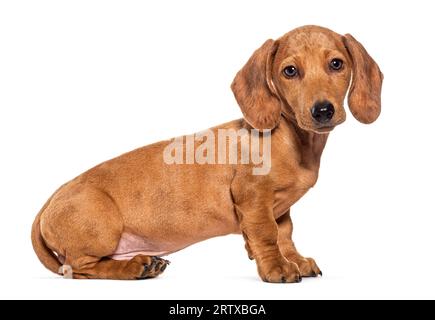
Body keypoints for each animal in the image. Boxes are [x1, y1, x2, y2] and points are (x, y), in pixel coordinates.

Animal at [32, 25, 384, 282]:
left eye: (336, 64)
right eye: (290, 71)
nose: (323, 111)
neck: (292, 139)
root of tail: (48, 202)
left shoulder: (280, 208)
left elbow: (285, 234)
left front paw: (295, 260)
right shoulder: (252, 197)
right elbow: (267, 234)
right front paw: (277, 268)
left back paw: (143, 263)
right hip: (101, 230)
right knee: (80, 268)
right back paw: (134, 268)